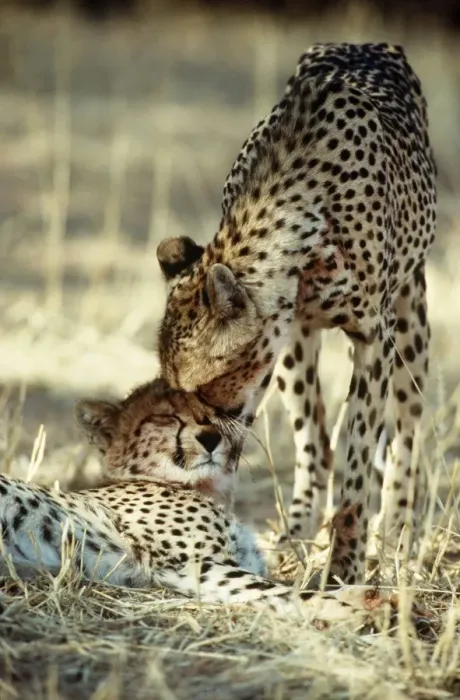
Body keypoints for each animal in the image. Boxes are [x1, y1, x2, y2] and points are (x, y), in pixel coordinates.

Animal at [0, 376, 386, 625]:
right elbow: (281, 591)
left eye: (216, 412)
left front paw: (364, 595)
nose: (211, 437)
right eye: (166, 417)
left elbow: (288, 585)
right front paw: (357, 610)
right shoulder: (192, 566)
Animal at [155, 42, 437, 586]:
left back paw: (395, 534)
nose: (193, 432)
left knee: (405, 430)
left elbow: (358, 463)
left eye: (203, 387)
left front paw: (345, 566)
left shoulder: (374, 336)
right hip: (297, 350)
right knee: (315, 441)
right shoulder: (282, 337)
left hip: (411, 317)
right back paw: (300, 533)